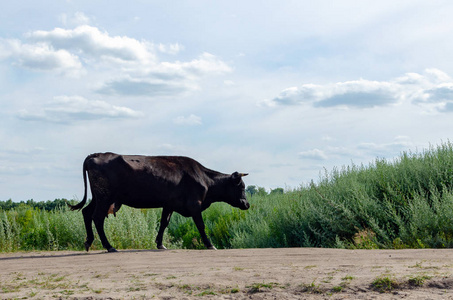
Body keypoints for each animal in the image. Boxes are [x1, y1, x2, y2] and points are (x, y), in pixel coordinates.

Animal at [67, 152, 251, 253]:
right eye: (241, 186)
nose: (247, 204)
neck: (204, 178)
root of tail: (96, 154)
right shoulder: (194, 205)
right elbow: (201, 225)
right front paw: (210, 244)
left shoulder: (169, 205)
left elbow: (164, 223)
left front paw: (160, 244)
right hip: (105, 197)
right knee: (97, 218)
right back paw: (109, 246)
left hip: (99, 197)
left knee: (86, 212)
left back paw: (88, 241)